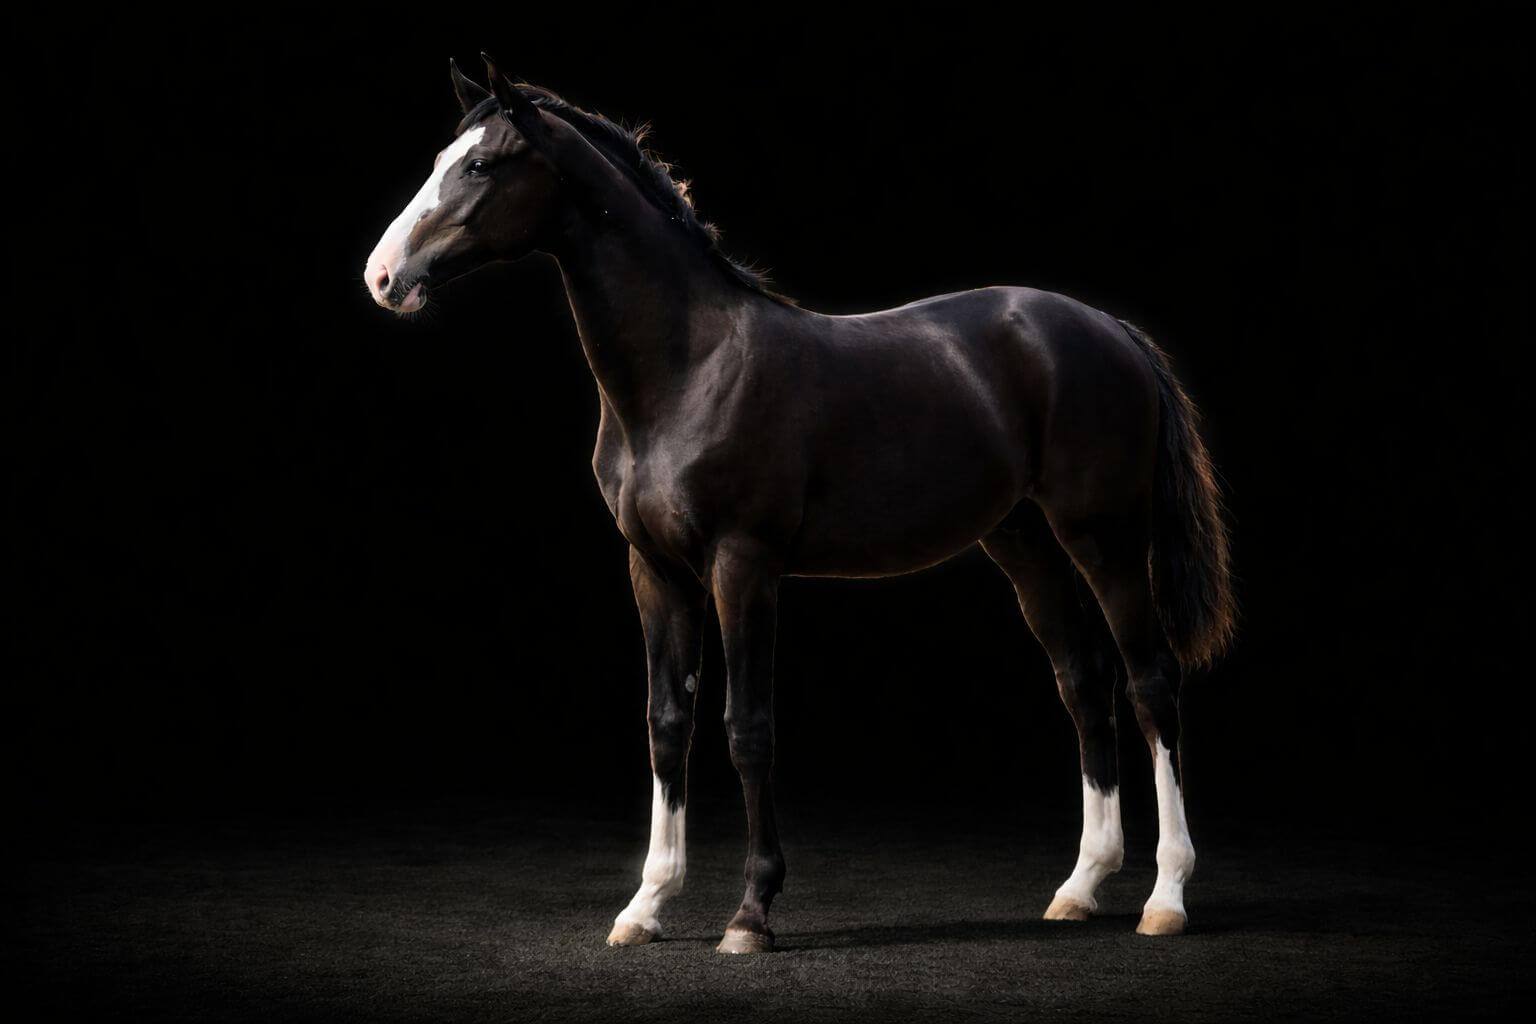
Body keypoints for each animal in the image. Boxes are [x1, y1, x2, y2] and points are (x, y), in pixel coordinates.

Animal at [364, 55, 1236, 954]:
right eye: (443, 157)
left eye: (480, 165)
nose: (383, 277)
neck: (691, 369)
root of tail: (1110, 329)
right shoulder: (655, 570)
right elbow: (666, 722)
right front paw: (645, 905)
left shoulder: (743, 565)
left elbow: (747, 727)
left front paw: (750, 914)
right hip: (1024, 542)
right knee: (1083, 681)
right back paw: (1080, 886)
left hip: (1103, 536)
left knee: (1151, 682)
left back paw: (1165, 897)